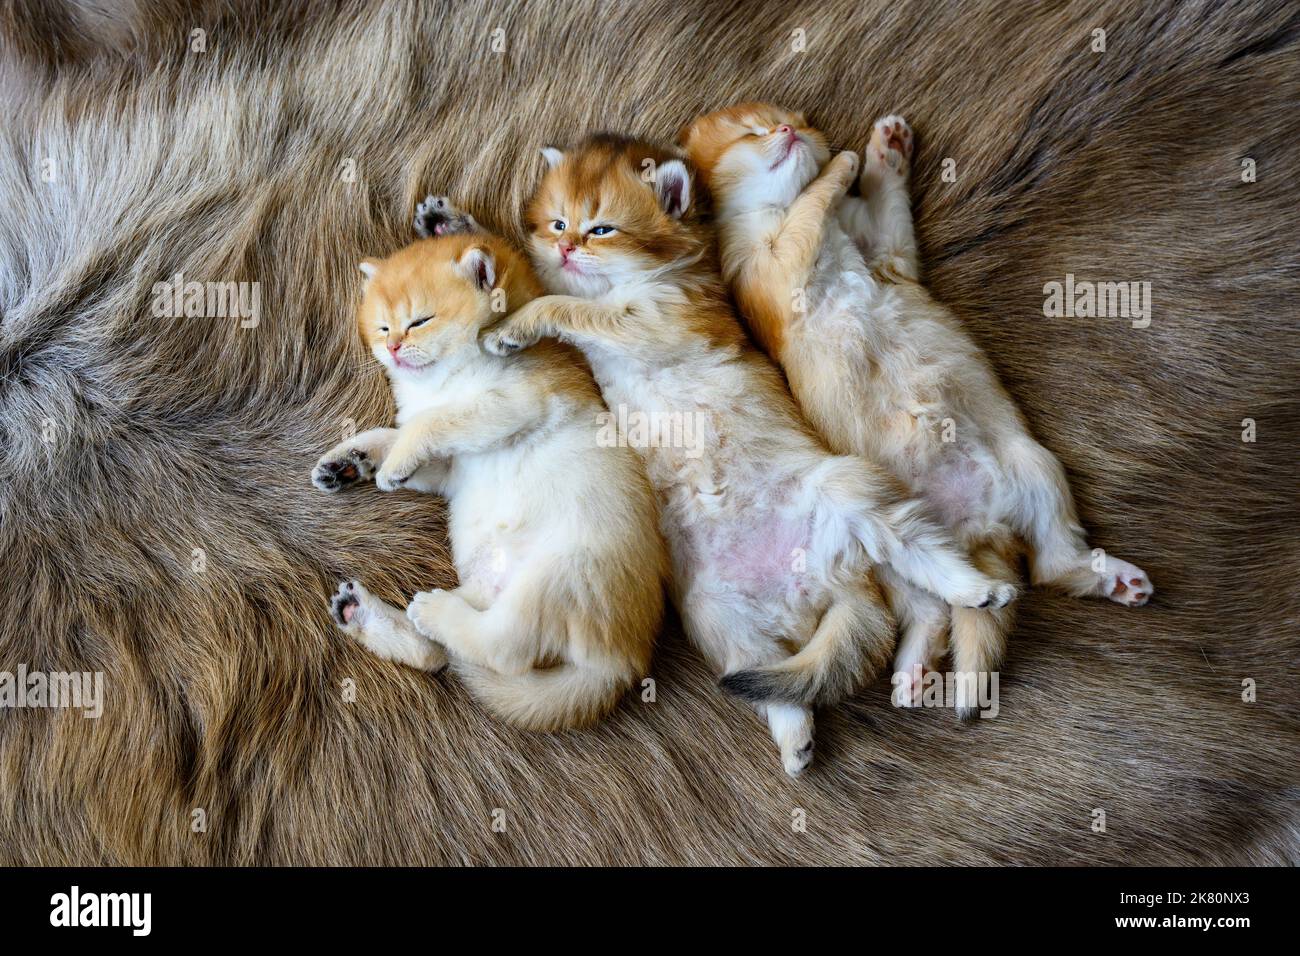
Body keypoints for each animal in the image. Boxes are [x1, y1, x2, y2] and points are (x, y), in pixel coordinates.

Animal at [310, 205, 665, 733]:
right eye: (382, 328)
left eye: (419, 321)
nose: (392, 347)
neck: (441, 382)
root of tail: (623, 662)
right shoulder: (451, 468)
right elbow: (394, 434)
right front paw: (351, 460)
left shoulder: (512, 403)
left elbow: (432, 422)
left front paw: (389, 467)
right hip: (489, 586)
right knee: (441, 657)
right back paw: (366, 614)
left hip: (561, 574)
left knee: (503, 648)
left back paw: (432, 610)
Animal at [478, 136, 1013, 780]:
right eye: (558, 222)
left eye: (601, 228)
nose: (564, 245)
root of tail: (818, 587)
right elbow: (562, 302)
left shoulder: (661, 321)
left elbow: (568, 308)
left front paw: (517, 321)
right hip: (715, 615)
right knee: (769, 676)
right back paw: (795, 737)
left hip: (845, 490)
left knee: (922, 554)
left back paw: (974, 588)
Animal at [686, 106, 1154, 717]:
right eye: (754, 129)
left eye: (798, 121)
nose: (792, 132)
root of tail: (978, 532)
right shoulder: (774, 272)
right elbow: (813, 206)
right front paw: (842, 166)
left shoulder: (886, 252)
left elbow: (882, 209)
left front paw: (885, 152)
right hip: (888, 556)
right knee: (941, 603)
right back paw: (913, 669)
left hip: (1035, 466)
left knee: (1050, 565)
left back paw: (1111, 582)